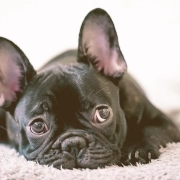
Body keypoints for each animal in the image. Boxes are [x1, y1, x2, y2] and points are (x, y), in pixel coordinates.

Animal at [0, 8, 180, 169]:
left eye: (103, 114)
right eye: (37, 126)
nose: (73, 143)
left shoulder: (165, 123)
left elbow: (150, 130)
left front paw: (137, 149)